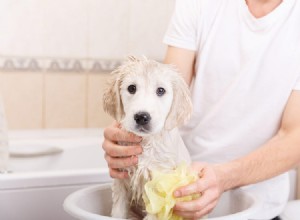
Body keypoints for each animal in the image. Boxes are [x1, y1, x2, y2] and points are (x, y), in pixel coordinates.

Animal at [102, 55, 192, 219]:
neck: (146, 142)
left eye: (161, 90)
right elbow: (118, 211)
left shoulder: (158, 187)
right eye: (131, 88)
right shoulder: (121, 179)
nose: (141, 117)